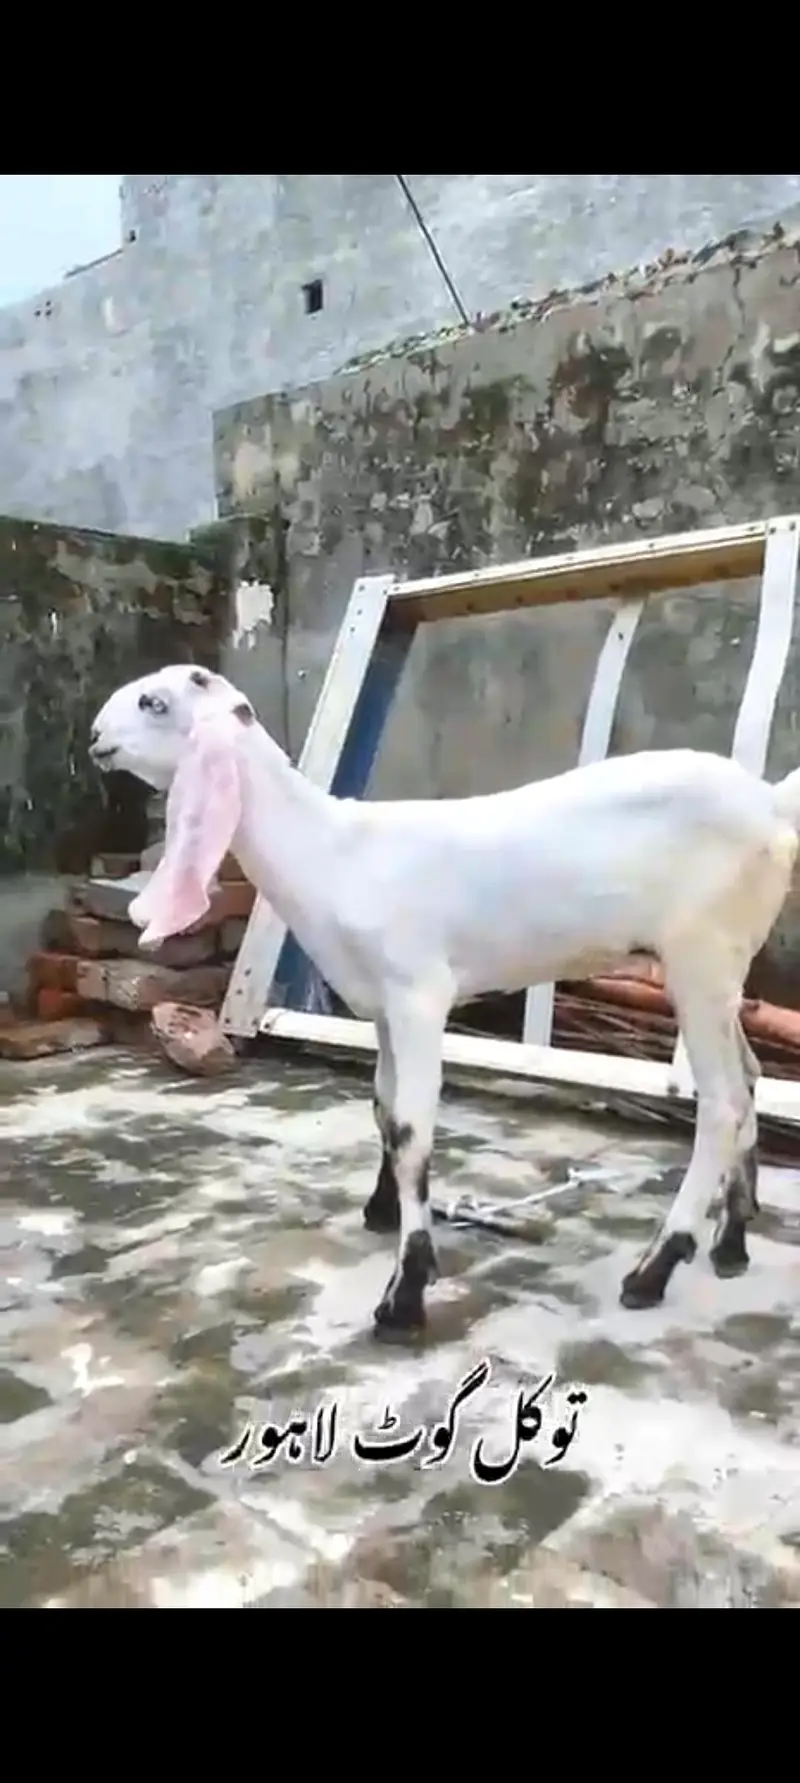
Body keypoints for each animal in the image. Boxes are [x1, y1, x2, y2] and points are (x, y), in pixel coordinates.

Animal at [89, 662, 800, 1341]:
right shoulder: (381, 1005)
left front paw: (405, 1293)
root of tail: (769, 802)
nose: (95, 738)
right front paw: (382, 1211)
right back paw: (730, 1241)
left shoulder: (419, 994)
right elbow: (383, 1109)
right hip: (723, 968)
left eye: (155, 702)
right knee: (750, 1077)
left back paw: (654, 1269)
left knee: (722, 1105)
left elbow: (411, 1130)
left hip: (701, 952)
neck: (332, 853)